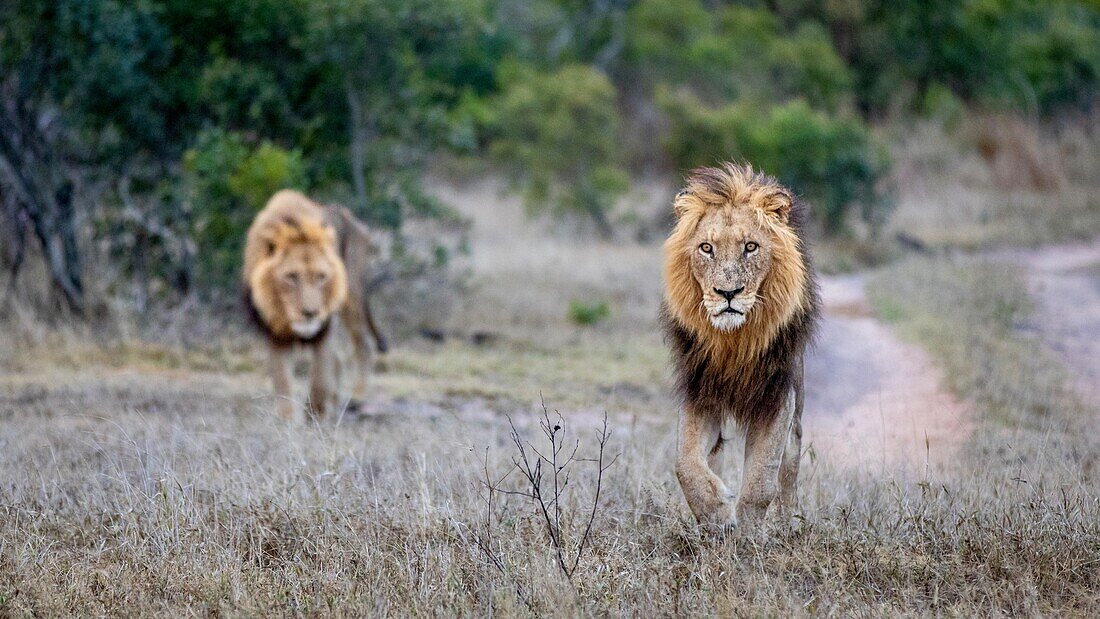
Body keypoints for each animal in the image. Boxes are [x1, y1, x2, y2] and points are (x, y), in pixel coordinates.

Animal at [243, 189, 389, 422]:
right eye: (291, 277)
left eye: (321, 276)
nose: (310, 313)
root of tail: (348, 215)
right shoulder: (273, 332)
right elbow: (282, 378)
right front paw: (287, 421)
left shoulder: (326, 326)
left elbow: (321, 377)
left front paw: (315, 416)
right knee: (339, 360)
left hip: (351, 292)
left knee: (362, 345)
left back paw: (357, 396)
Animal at [660, 164, 818, 532]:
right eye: (706, 248)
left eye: (750, 246)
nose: (728, 293)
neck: (733, 341)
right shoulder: (700, 393)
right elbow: (685, 463)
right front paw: (716, 512)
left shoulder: (777, 396)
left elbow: (762, 477)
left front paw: (747, 532)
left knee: (789, 469)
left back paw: (792, 523)